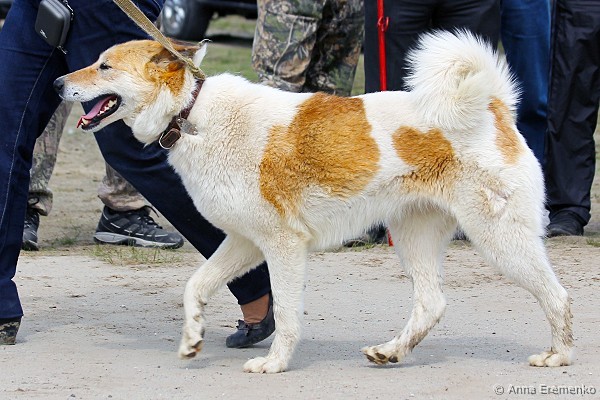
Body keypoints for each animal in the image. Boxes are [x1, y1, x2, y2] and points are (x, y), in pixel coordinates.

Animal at [55, 30, 573, 373]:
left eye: (104, 65)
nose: (58, 83)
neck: (193, 112)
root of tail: (494, 106)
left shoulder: (282, 245)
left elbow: (285, 312)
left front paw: (275, 363)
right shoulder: (245, 241)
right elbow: (195, 287)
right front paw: (192, 339)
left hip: (500, 240)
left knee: (558, 296)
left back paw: (559, 355)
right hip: (414, 237)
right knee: (432, 303)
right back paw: (391, 351)